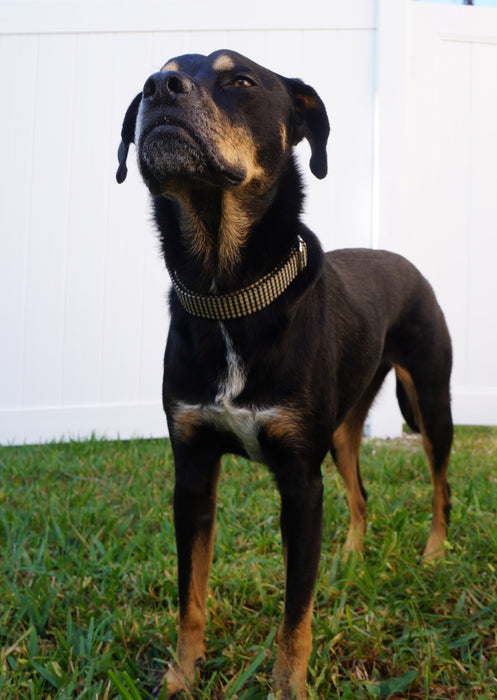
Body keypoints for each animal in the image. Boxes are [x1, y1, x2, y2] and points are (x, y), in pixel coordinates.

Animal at [117, 50, 454, 700]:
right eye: (157, 72)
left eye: (241, 81)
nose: (159, 89)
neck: (228, 294)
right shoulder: (192, 470)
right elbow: (190, 596)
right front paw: (181, 675)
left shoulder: (300, 481)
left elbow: (296, 609)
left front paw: (287, 685)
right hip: (345, 428)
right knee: (361, 494)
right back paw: (350, 557)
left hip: (430, 400)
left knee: (441, 485)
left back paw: (433, 554)